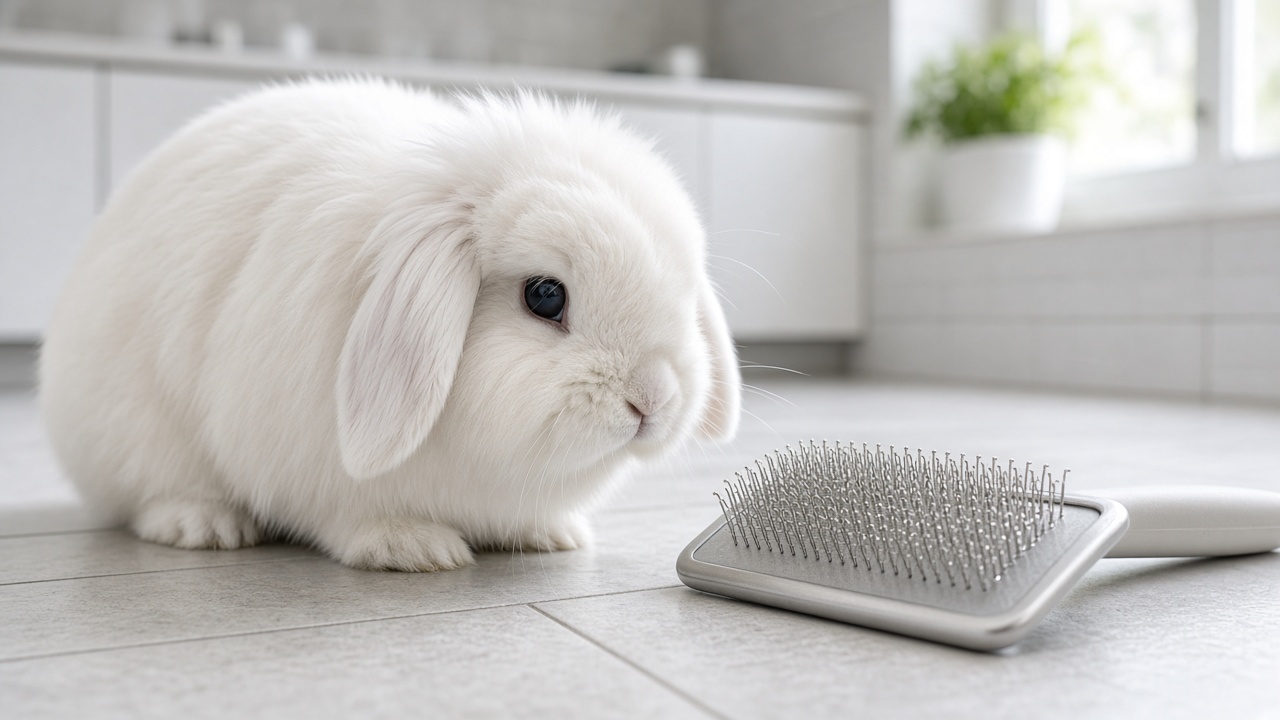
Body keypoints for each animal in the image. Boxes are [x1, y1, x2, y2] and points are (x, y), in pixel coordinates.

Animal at [39, 78, 741, 571]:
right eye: (545, 297)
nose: (652, 400)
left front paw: (553, 535)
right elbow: (352, 516)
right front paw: (414, 549)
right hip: (137, 433)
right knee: (151, 494)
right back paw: (205, 527)